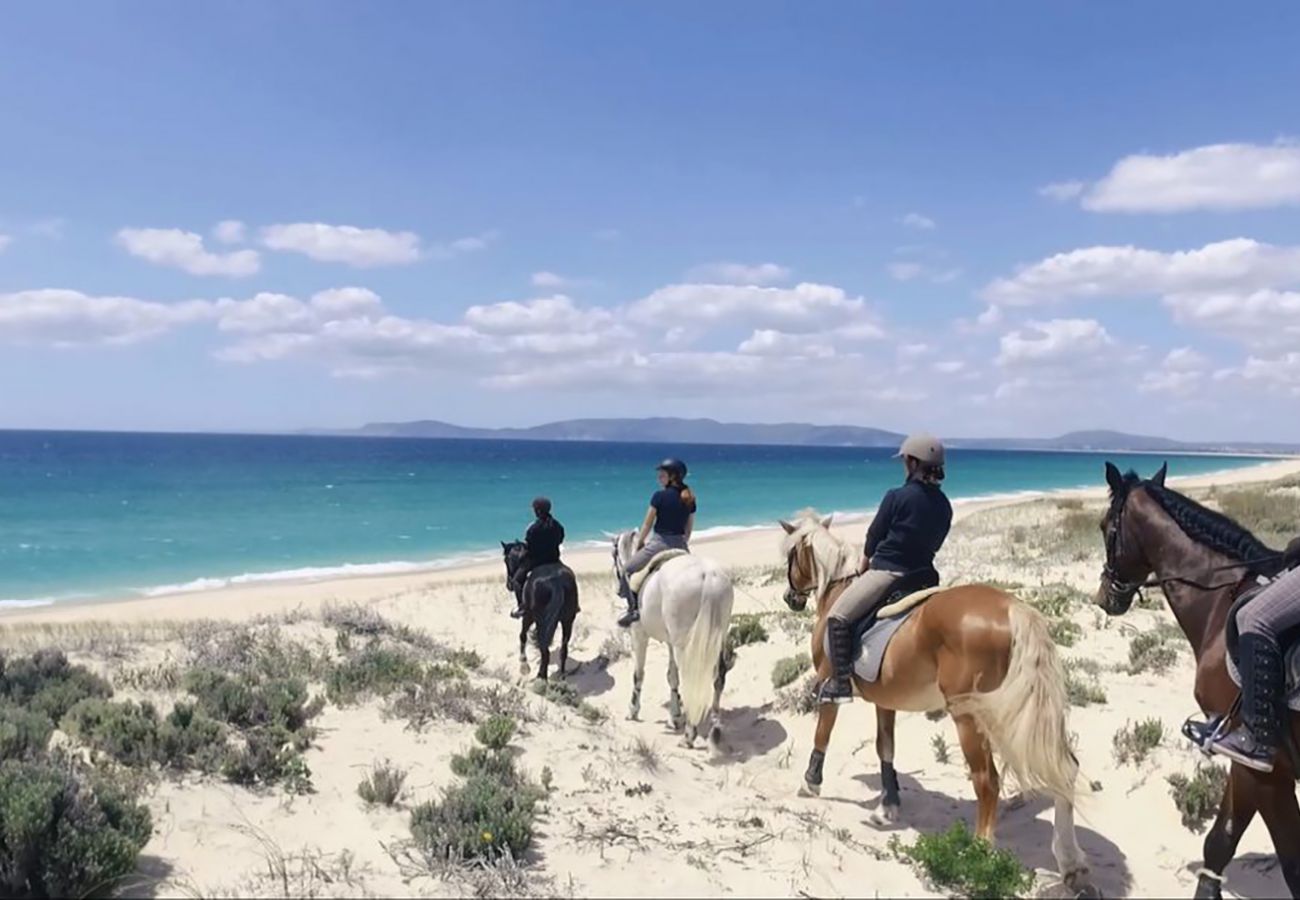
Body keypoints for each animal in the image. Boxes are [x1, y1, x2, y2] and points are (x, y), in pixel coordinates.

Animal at [499, 541, 577, 681]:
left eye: (506, 560)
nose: (509, 585)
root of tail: (556, 581)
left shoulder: (528, 617)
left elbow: (522, 636)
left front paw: (524, 665)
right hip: (568, 620)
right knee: (563, 649)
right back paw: (561, 676)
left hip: (538, 619)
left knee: (545, 651)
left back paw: (541, 678)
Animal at [608, 530, 733, 749]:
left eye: (614, 556)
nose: (618, 590)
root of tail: (708, 577)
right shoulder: (670, 643)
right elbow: (672, 676)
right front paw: (675, 716)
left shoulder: (639, 634)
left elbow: (639, 674)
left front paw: (633, 710)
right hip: (715, 640)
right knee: (718, 677)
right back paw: (715, 726)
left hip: (685, 645)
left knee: (691, 679)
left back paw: (689, 735)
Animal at [774, 509, 1092, 894]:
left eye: (791, 557)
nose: (790, 598)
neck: (840, 590)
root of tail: (1012, 608)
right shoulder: (885, 700)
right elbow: (885, 748)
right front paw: (888, 806)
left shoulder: (828, 684)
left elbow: (823, 733)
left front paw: (810, 782)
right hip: (1013, 711)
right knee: (1065, 768)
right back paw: (1071, 863)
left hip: (971, 716)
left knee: (987, 781)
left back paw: (977, 855)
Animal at [1097, 463, 1300, 900]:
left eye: (1105, 527)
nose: (1105, 597)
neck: (1222, 598)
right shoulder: (1240, 759)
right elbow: (1220, 840)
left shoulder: (1262, 767)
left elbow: (1290, 862)